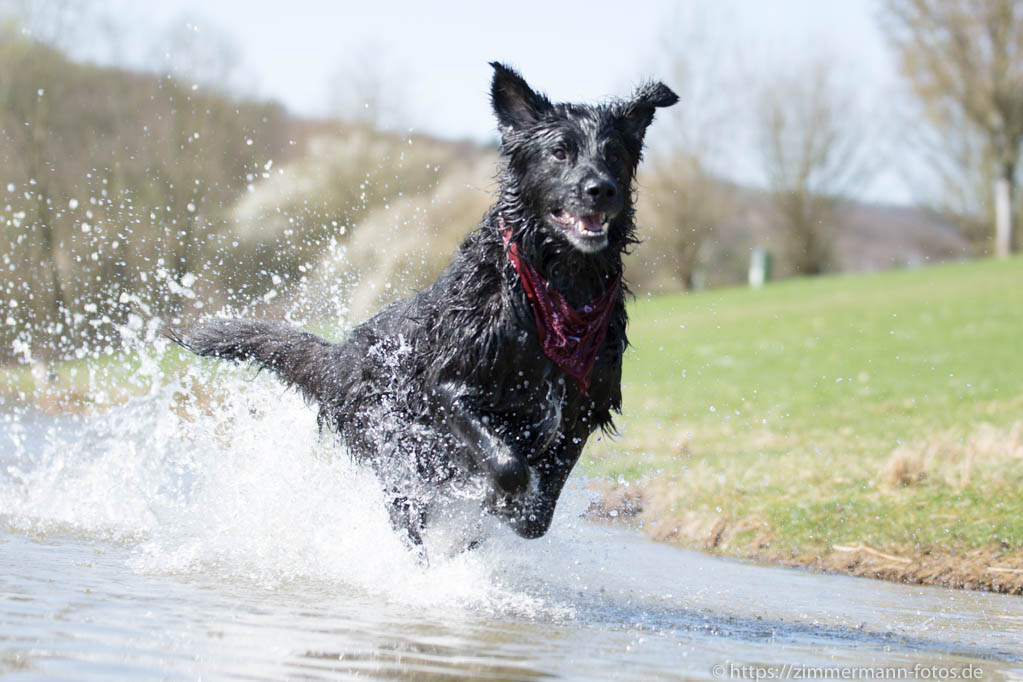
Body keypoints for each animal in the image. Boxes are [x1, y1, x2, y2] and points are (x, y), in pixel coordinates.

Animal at [171, 62, 675, 556]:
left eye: (614, 154)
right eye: (559, 152)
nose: (600, 189)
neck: (557, 289)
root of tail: (343, 356)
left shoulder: (583, 409)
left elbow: (539, 510)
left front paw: (511, 511)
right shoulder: (450, 383)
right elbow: (508, 464)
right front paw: (496, 495)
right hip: (394, 447)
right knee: (409, 512)